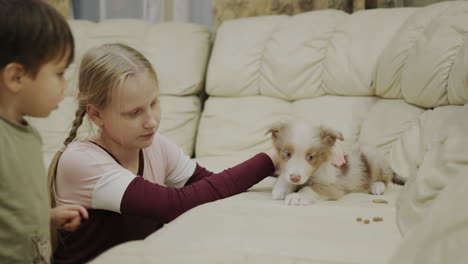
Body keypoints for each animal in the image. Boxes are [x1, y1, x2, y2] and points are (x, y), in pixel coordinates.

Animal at [266, 120, 402, 206]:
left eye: (311, 156)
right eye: (287, 154)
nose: (295, 178)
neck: (314, 172)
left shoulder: (335, 186)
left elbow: (312, 188)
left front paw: (297, 197)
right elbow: (286, 176)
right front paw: (281, 187)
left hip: (371, 154)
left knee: (385, 178)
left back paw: (376, 186)